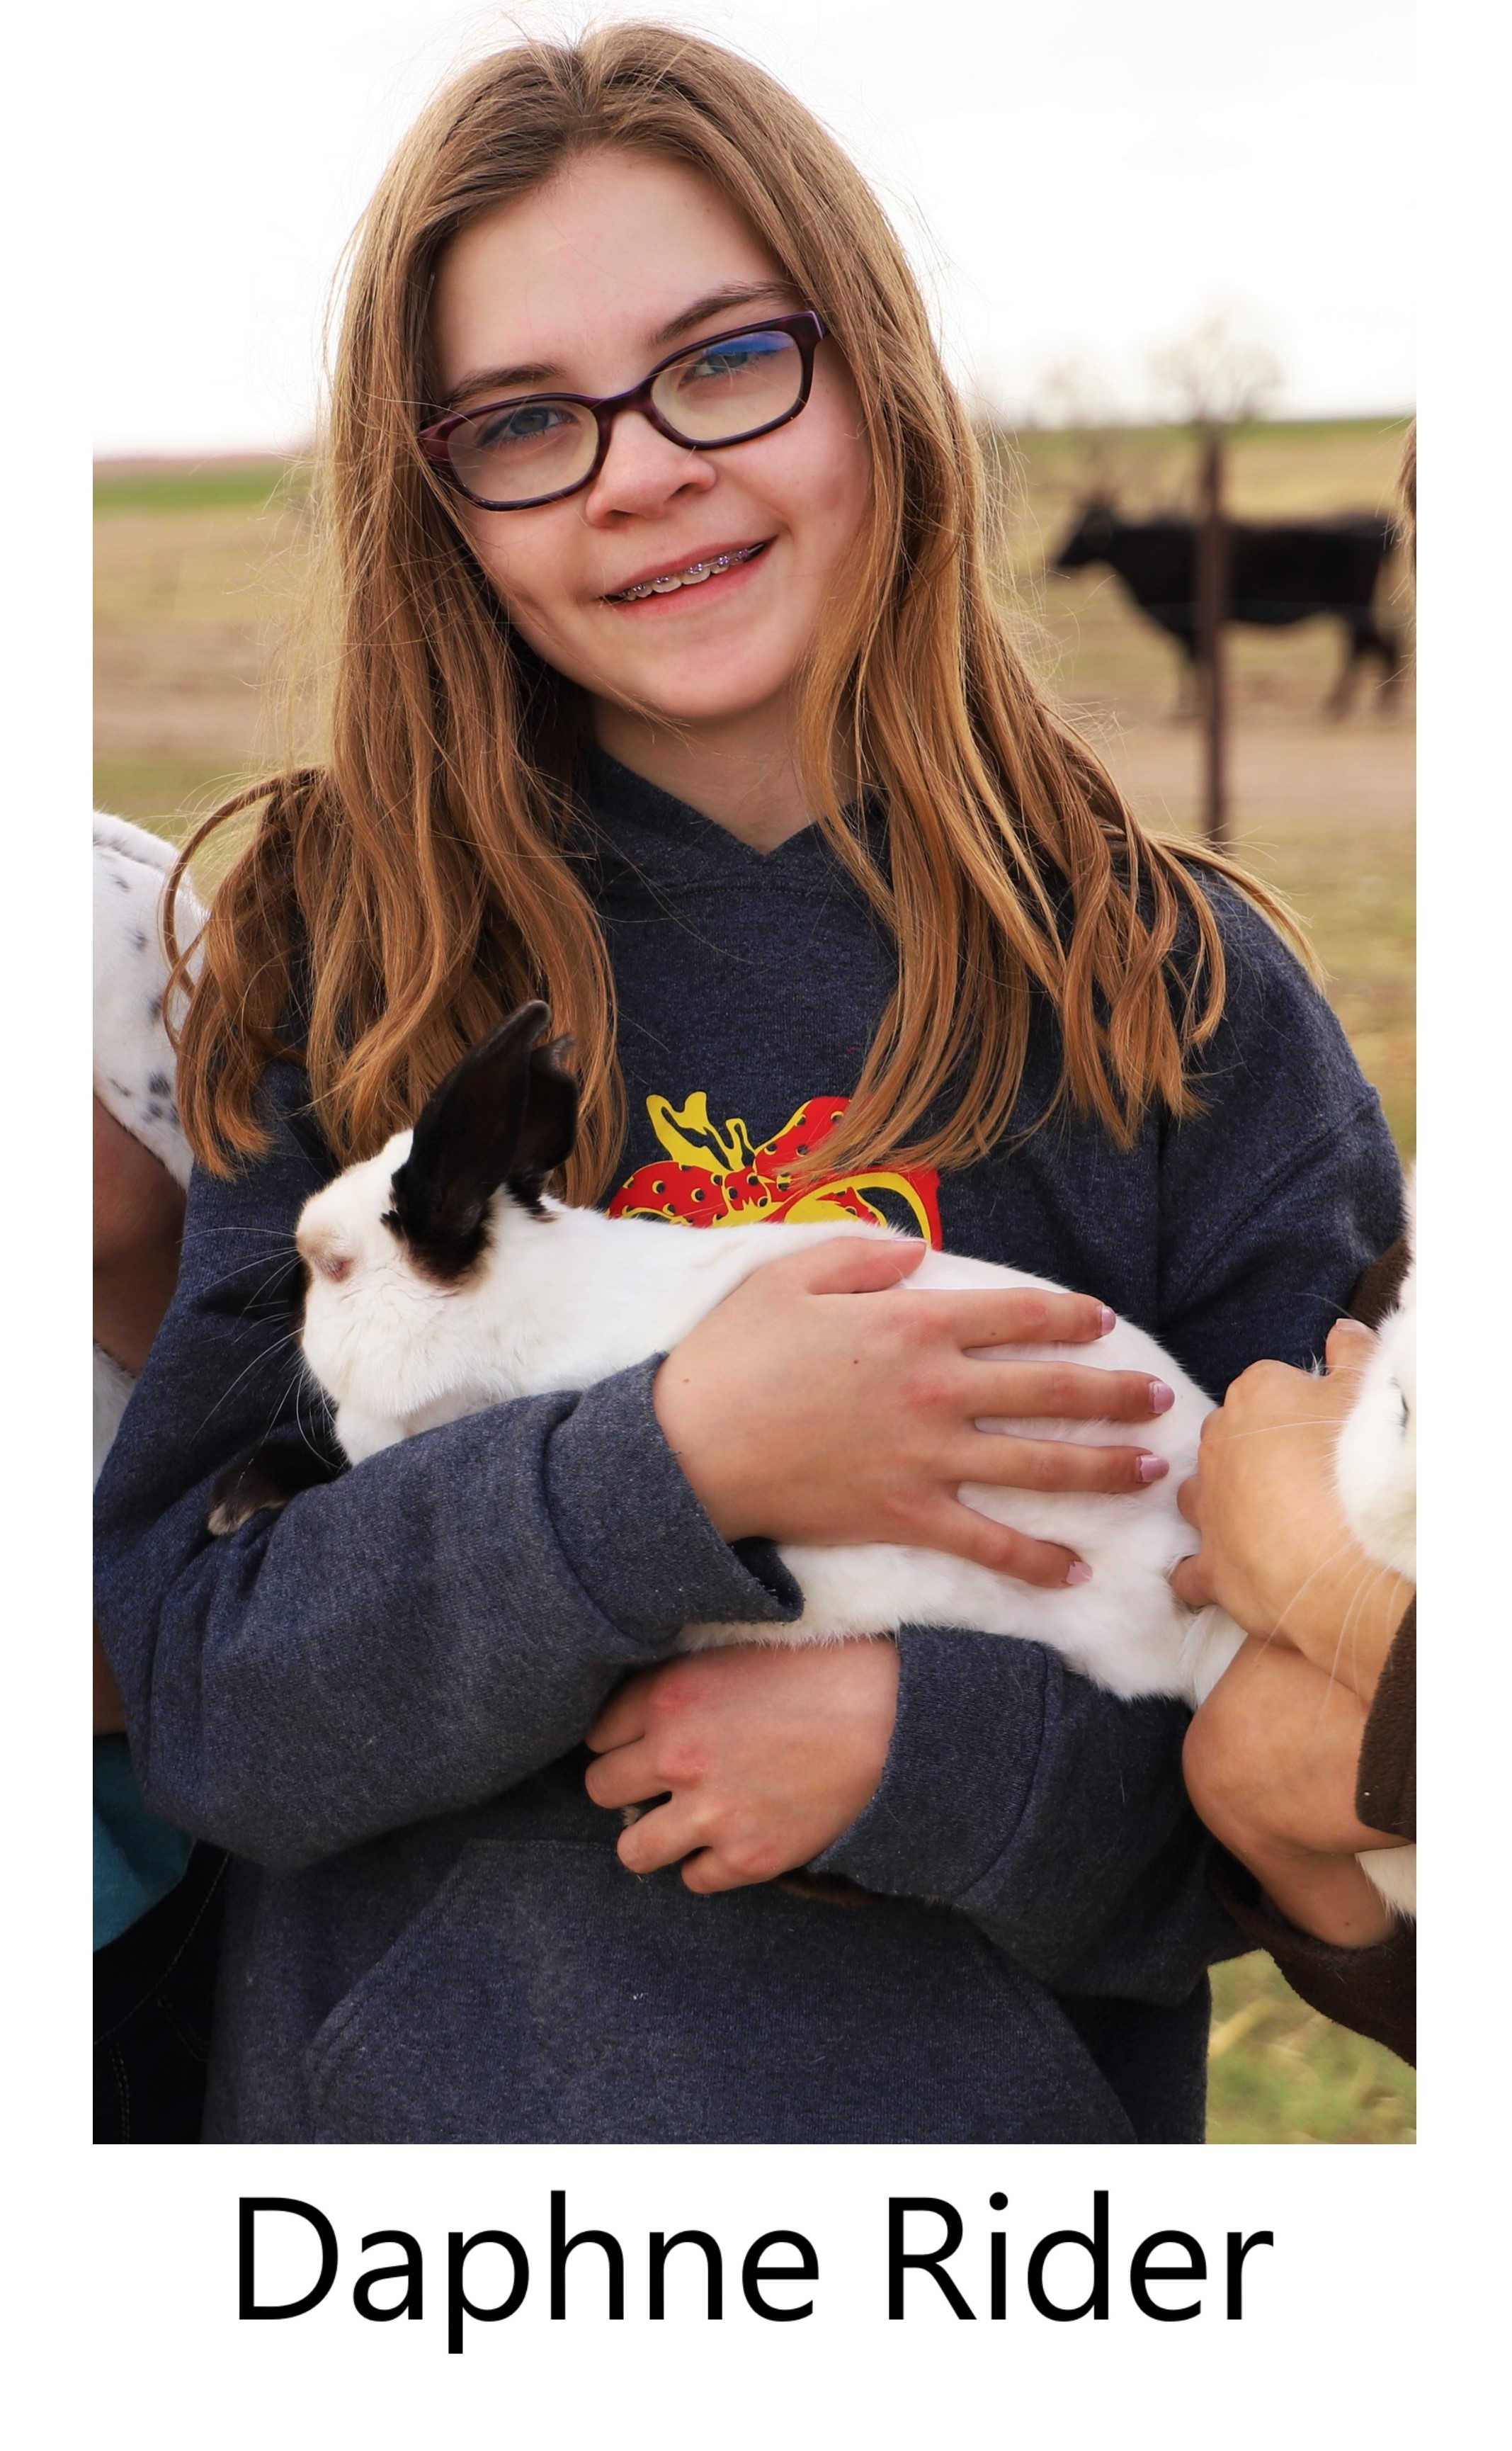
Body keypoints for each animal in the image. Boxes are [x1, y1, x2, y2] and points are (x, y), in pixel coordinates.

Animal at [1053, 502, 1402, 715]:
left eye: (1079, 533)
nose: (1054, 561)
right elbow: (1196, 661)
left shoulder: (1189, 621)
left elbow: (1195, 661)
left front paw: (1188, 710)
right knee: (1373, 643)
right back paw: (1371, 702)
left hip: (1354, 605)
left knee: (1366, 644)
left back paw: (1345, 705)